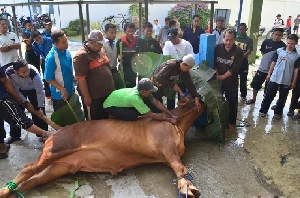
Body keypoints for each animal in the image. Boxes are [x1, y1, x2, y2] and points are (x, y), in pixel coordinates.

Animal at [0, 98, 205, 197]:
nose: (202, 99)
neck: (179, 124)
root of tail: (55, 131)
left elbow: (180, 168)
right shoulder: (167, 147)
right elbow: (181, 168)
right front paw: (187, 187)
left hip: (59, 167)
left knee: (36, 180)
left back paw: (12, 193)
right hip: (58, 148)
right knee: (29, 168)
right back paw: (5, 190)